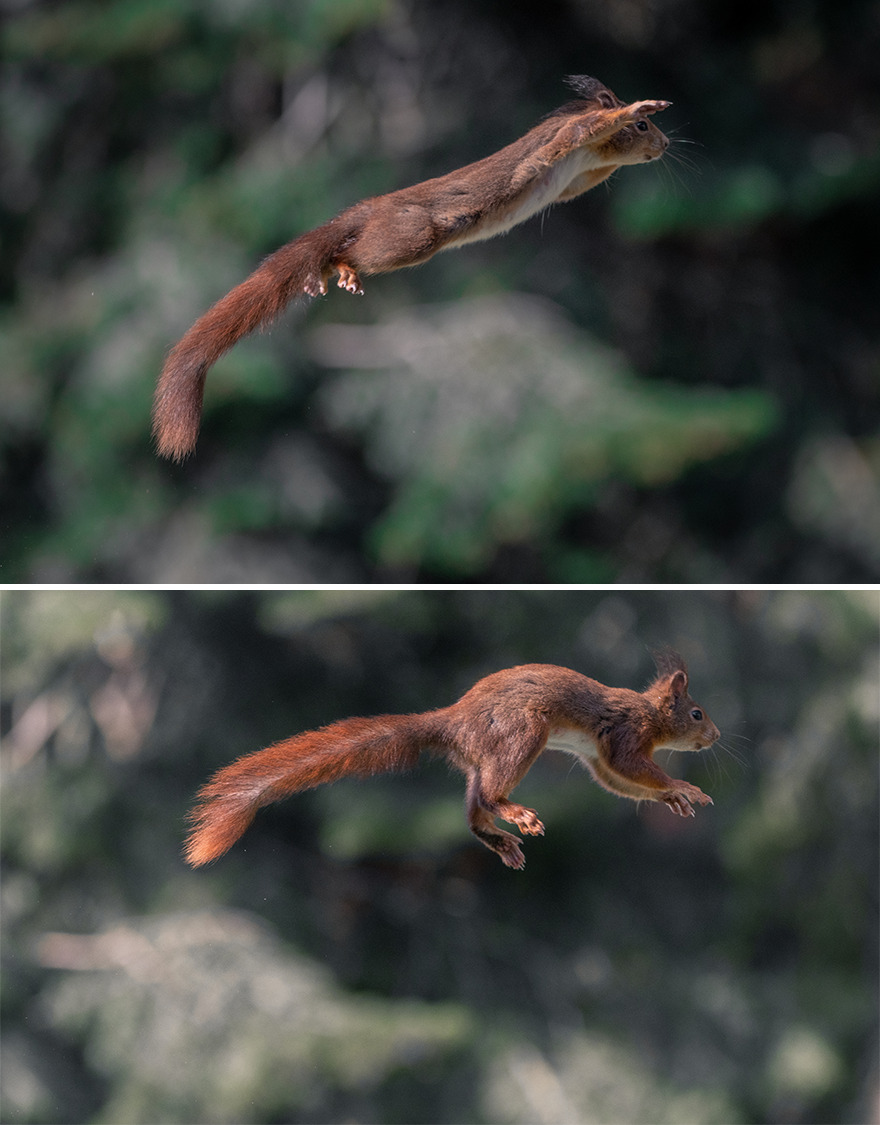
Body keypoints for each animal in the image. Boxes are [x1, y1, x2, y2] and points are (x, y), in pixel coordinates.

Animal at [153, 75, 671, 460]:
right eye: (644, 125)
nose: (664, 145)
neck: (592, 156)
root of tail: (369, 207)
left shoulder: (576, 179)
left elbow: (580, 183)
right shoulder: (565, 142)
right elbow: (585, 129)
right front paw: (634, 108)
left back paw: (327, 274)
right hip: (412, 234)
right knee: (354, 249)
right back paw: (337, 267)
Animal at [184, 651, 717, 871]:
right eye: (696, 713)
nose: (714, 736)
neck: (650, 712)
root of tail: (453, 721)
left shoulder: (599, 758)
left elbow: (619, 782)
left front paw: (674, 798)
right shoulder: (625, 736)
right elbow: (633, 769)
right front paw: (685, 789)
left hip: (483, 758)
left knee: (472, 809)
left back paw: (500, 841)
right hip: (521, 735)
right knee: (490, 794)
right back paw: (517, 816)